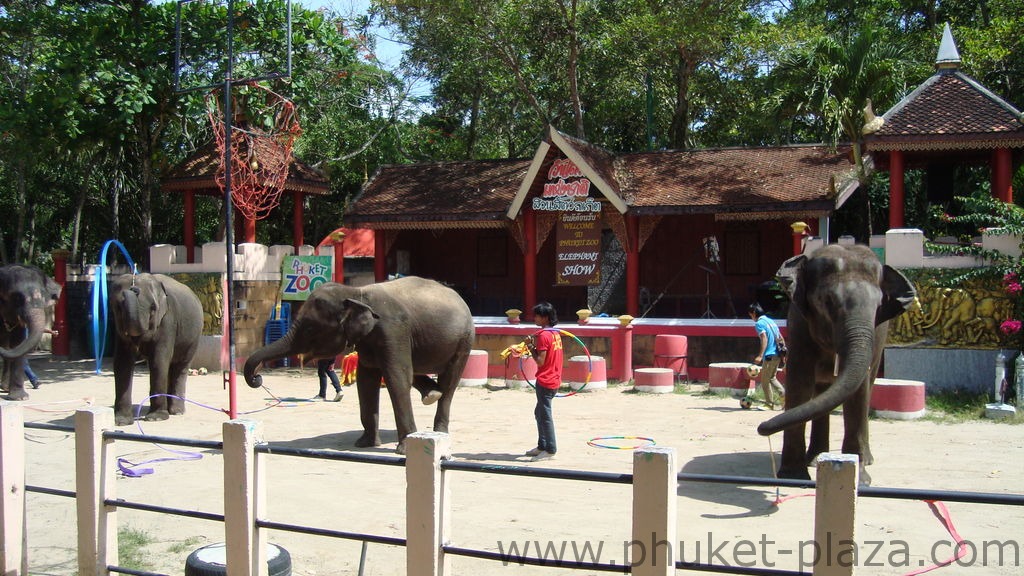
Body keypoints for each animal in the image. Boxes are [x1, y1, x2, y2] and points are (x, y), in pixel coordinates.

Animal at [109, 270, 203, 424]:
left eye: (153, 308)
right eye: (118, 307)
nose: (134, 289)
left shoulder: (168, 320)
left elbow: (159, 361)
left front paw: (156, 418)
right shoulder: (118, 328)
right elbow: (122, 362)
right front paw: (122, 421)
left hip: (194, 337)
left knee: (180, 366)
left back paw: (176, 412)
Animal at [243, 274, 475, 453]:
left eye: (309, 329)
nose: (257, 377)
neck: (356, 293)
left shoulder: (393, 330)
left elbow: (397, 378)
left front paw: (404, 450)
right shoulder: (369, 340)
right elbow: (367, 380)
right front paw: (364, 444)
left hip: (464, 341)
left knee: (449, 382)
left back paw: (439, 429)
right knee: (418, 371)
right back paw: (431, 394)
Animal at [757, 242, 917, 483]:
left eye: (879, 305)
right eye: (826, 301)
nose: (762, 428)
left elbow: (858, 390)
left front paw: (861, 480)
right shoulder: (799, 325)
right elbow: (800, 384)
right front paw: (794, 478)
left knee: (868, 386)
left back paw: (865, 459)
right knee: (820, 391)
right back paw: (815, 459)